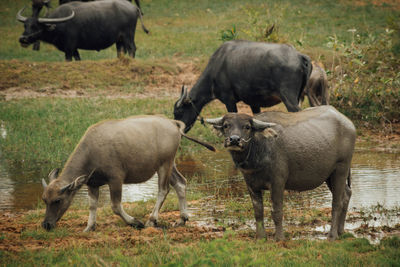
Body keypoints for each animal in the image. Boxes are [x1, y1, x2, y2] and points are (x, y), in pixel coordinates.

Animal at [16, 0, 148, 61]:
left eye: (35, 26)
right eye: (25, 26)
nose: (23, 39)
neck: (59, 25)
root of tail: (133, 7)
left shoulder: (69, 49)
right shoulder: (74, 49)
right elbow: (78, 59)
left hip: (128, 36)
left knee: (132, 49)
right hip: (119, 40)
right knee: (121, 52)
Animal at [41, 115, 214, 232]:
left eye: (57, 200)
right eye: (44, 200)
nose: (46, 224)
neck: (92, 151)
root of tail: (173, 123)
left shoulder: (116, 179)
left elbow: (115, 206)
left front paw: (135, 222)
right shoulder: (92, 183)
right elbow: (92, 205)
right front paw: (89, 227)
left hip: (164, 165)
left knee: (163, 190)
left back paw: (152, 220)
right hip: (171, 164)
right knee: (180, 183)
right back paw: (182, 219)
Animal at [173, 40, 312, 133]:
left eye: (179, 112)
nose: (179, 131)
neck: (215, 69)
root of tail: (298, 56)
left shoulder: (229, 100)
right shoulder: (254, 102)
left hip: (289, 99)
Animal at [206, 105, 356, 242]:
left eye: (247, 127)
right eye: (226, 125)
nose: (234, 140)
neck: (258, 151)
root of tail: (349, 124)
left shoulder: (277, 182)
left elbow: (276, 211)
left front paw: (279, 238)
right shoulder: (251, 184)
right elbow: (258, 212)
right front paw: (260, 237)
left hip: (341, 169)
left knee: (337, 202)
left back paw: (332, 235)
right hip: (329, 175)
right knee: (346, 194)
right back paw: (341, 231)